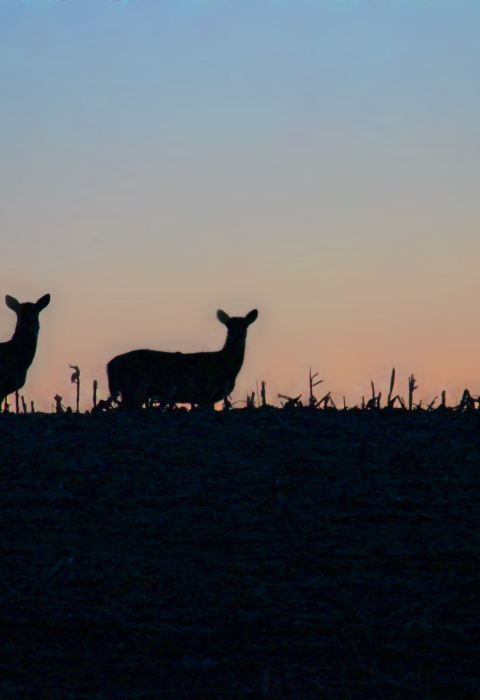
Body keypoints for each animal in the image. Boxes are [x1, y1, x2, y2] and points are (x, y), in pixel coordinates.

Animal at [107, 308, 258, 410]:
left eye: (245, 325)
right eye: (229, 325)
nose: (238, 334)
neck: (225, 365)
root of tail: (113, 361)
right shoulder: (206, 392)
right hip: (134, 387)